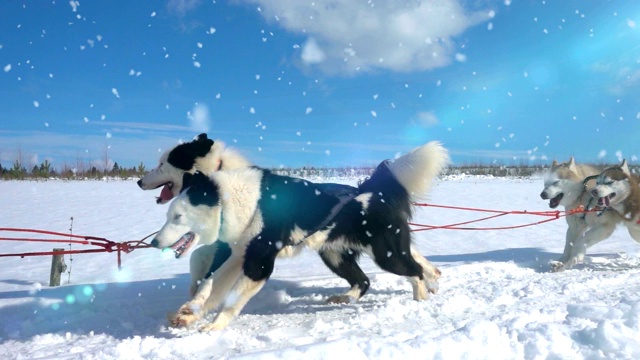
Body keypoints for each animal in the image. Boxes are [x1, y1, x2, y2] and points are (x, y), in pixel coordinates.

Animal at [151, 141, 450, 332]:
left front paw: (214, 325)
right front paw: (189, 314)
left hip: (387, 255)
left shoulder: (258, 263)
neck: (237, 199)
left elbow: (231, 298)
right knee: (365, 280)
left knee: (413, 271)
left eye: (177, 216)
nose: (154, 242)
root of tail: (372, 193)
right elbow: (210, 286)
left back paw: (422, 296)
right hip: (334, 255)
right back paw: (347, 298)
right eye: (168, 215)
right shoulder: (237, 256)